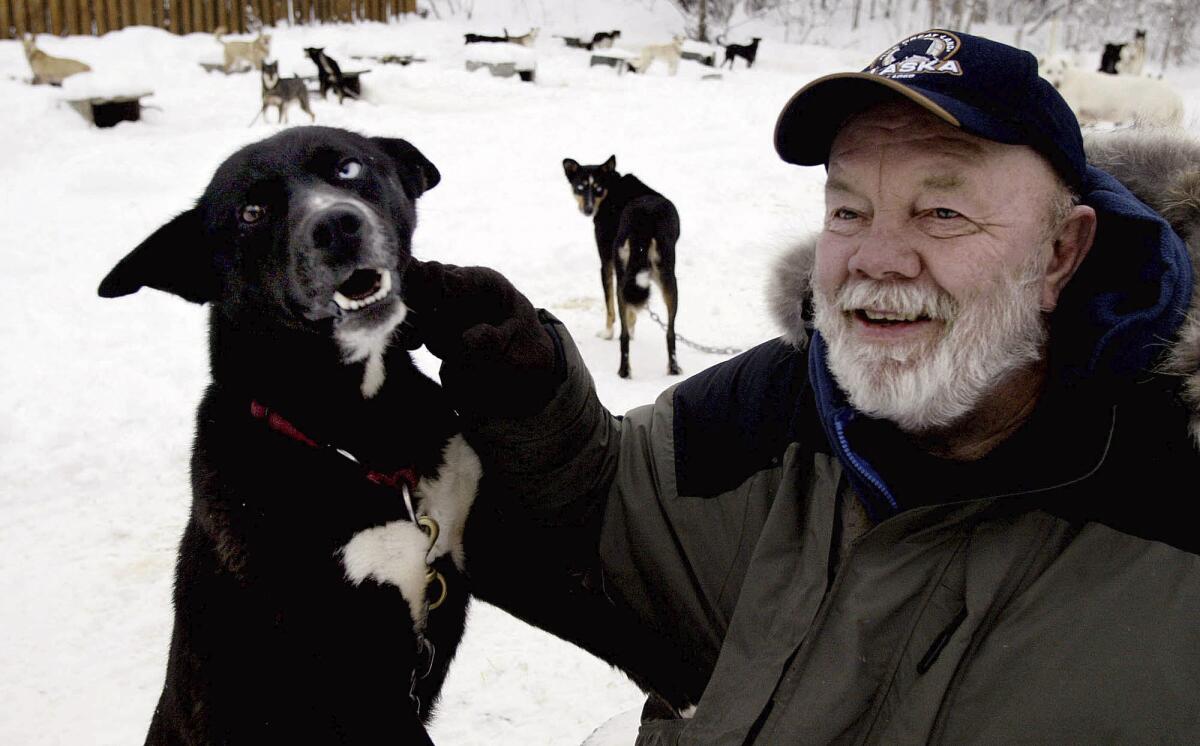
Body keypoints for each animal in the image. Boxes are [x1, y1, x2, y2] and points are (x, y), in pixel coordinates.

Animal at [559, 157, 676, 378]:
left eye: (597, 188)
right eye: (580, 187)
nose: (587, 210)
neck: (612, 188)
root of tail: (644, 221)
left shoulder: (606, 262)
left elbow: (609, 305)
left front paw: (607, 333)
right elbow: (631, 313)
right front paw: (632, 325)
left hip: (625, 276)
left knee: (624, 335)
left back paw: (624, 370)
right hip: (666, 278)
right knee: (671, 332)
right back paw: (672, 369)